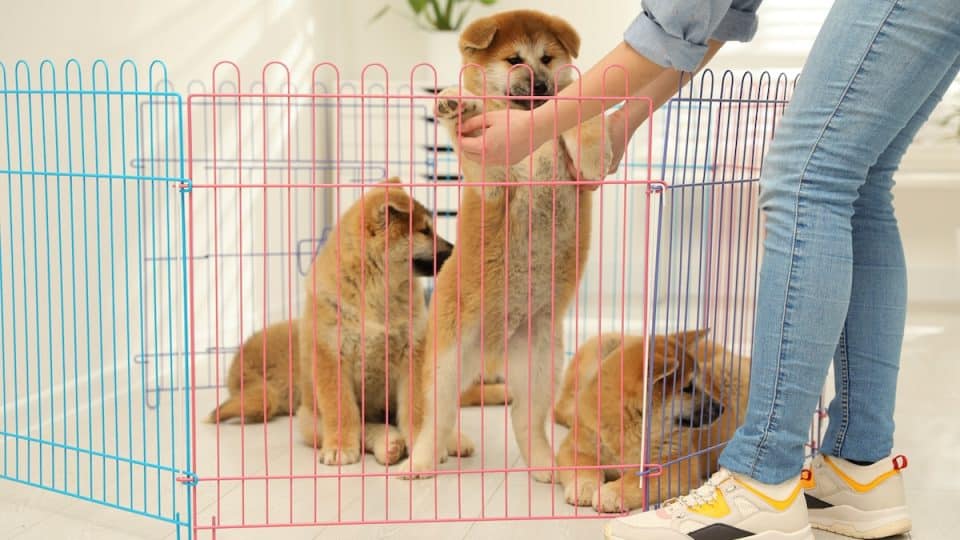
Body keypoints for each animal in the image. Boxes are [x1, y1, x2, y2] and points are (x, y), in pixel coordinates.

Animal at [400, 9, 612, 480]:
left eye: (547, 59)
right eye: (514, 59)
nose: (541, 84)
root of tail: (495, 343)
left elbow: (583, 116)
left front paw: (594, 146)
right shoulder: (495, 183)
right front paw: (456, 103)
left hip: (539, 364)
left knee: (525, 422)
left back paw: (544, 464)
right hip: (447, 362)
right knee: (435, 419)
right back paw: (422, 460)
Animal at [556, 332, 752, 512]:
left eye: (701, 382)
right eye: (688, 388)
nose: (721, 408)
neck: (631, 429)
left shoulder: (673, 465)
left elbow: (637, 479)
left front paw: (611, 493)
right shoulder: (575, 448)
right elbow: (583, 465)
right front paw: (584, 486)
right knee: (559, 408)